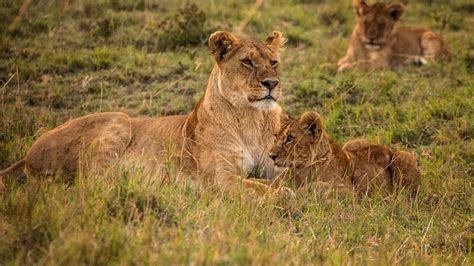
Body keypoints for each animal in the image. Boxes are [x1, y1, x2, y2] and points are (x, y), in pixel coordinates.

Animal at [0, 30, 288, 197]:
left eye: (274, 63)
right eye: (247, 62)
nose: (272, 83)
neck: (252, 118)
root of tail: (27, 156)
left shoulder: (276, 165)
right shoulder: (221, 179)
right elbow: (262, 189)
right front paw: (284, 195)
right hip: (119, 120)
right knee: (91, 184)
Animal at [270, 111, 422, 196]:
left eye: (290, 138)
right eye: (276, 136)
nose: (271, 156)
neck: (300, 169)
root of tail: (388, 148)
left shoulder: (349, 191)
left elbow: (316, 185)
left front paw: (295, 193)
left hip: (402, 156)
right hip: (352, 142)